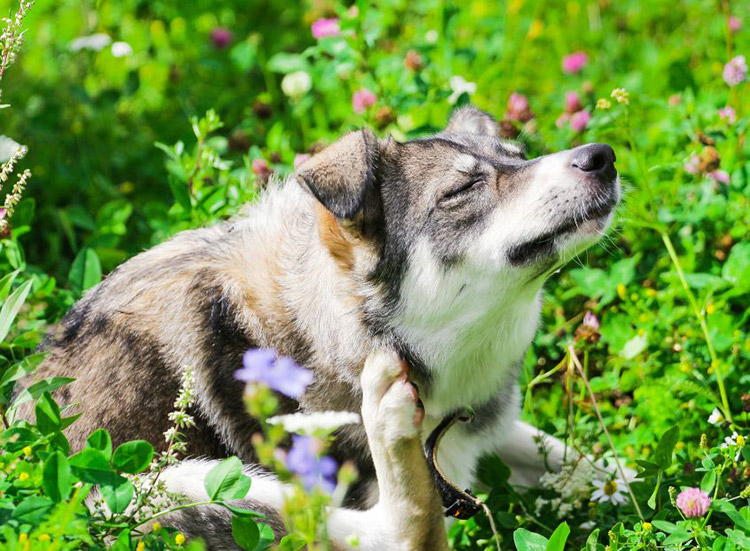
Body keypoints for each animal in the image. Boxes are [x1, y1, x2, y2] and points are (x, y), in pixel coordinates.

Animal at [20, 105, 624, 548]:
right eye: (461, 191)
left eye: (521, 157)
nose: (603, 156)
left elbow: (583, 462)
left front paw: (627, 483)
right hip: (160, 489)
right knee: (401, 533)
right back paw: (389, 420)